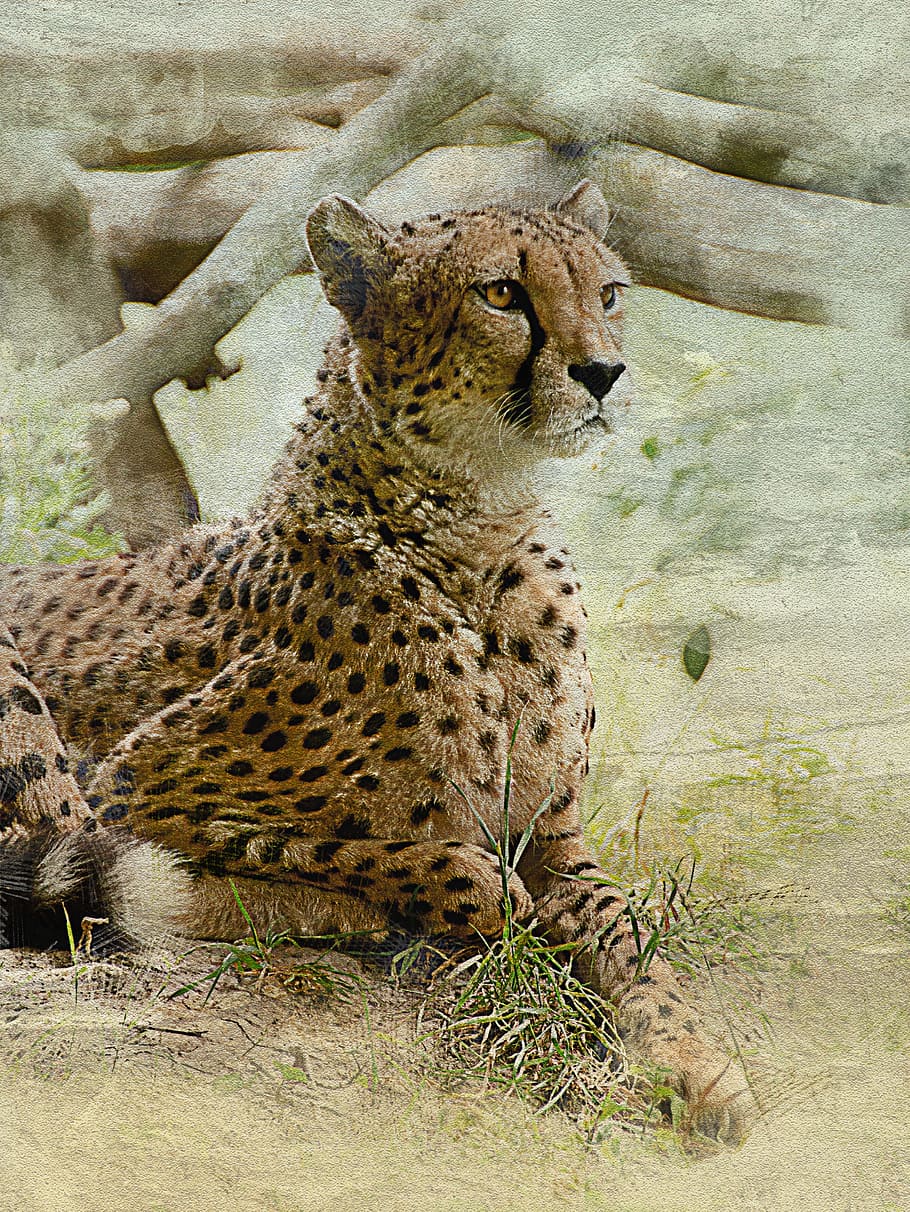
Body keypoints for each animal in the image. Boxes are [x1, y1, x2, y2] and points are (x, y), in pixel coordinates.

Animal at [0, 179, 756, 1143]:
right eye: (501, 294)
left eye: (610, 292)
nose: (604, 373)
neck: (477, 533)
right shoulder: (129, 786)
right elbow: (384, 856)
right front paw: (436, 892)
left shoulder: (558, 836)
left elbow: (630, 932)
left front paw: (694, 1060)